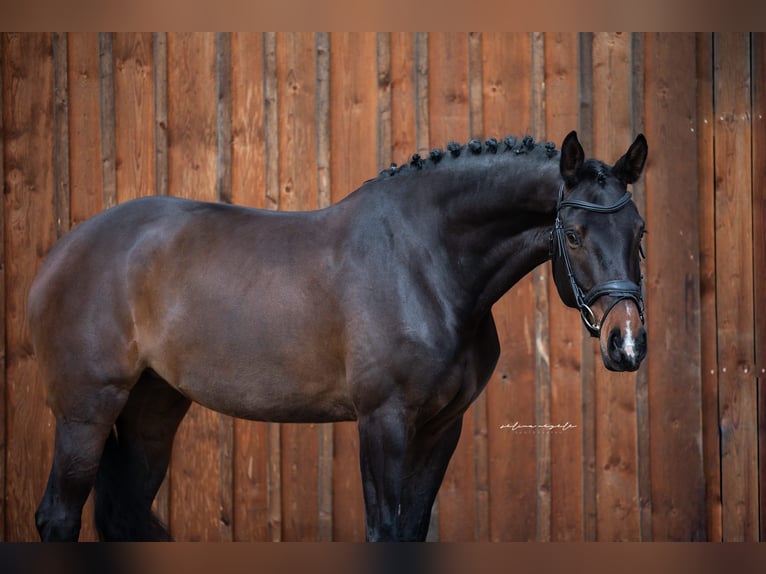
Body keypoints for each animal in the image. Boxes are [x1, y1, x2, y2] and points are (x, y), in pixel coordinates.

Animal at [33, 130, 652, 544]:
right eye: (574, 234)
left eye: (640, 231)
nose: (625, 343)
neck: (424, 261)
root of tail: (62, 253)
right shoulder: (383, 421)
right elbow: (385, 533)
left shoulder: (441, 428)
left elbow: (413, 529)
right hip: (87, 412)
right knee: (57, 517)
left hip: (152, 408)